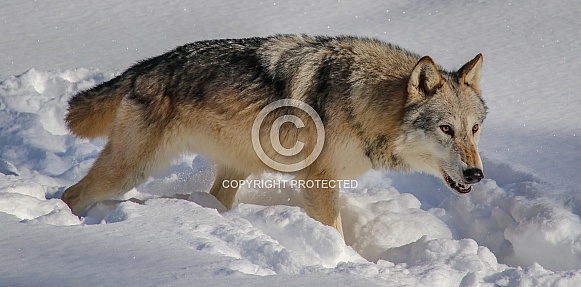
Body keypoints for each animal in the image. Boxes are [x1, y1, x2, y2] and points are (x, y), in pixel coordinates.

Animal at [61, 34, 484, 236]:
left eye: (475, 129)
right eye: (446, 129)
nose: (476, 174)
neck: (362, 98)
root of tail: (145, 67)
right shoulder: (319, 182)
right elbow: (336, 233)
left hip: (236, 170)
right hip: (129, 171)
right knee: (70, 194)